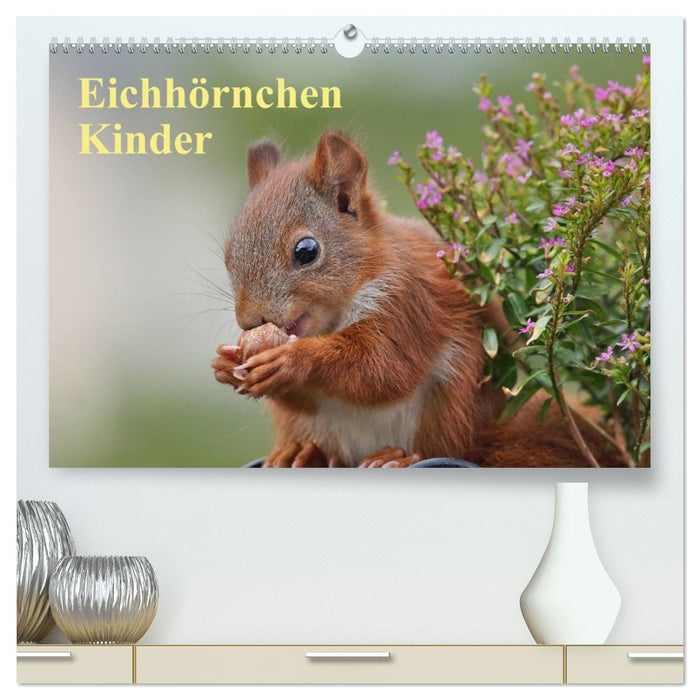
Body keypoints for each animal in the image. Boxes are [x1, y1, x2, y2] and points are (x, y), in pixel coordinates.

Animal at [211, 130, 623, 468]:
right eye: (229, 253)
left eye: (307, 251)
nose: (250, 321)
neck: (336, 314)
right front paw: (224, 366)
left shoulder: (408, 302)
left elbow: (382, 368)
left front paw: (293, 358)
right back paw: (305, 451)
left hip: (449, 406)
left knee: (446, 448)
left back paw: (399, 458)